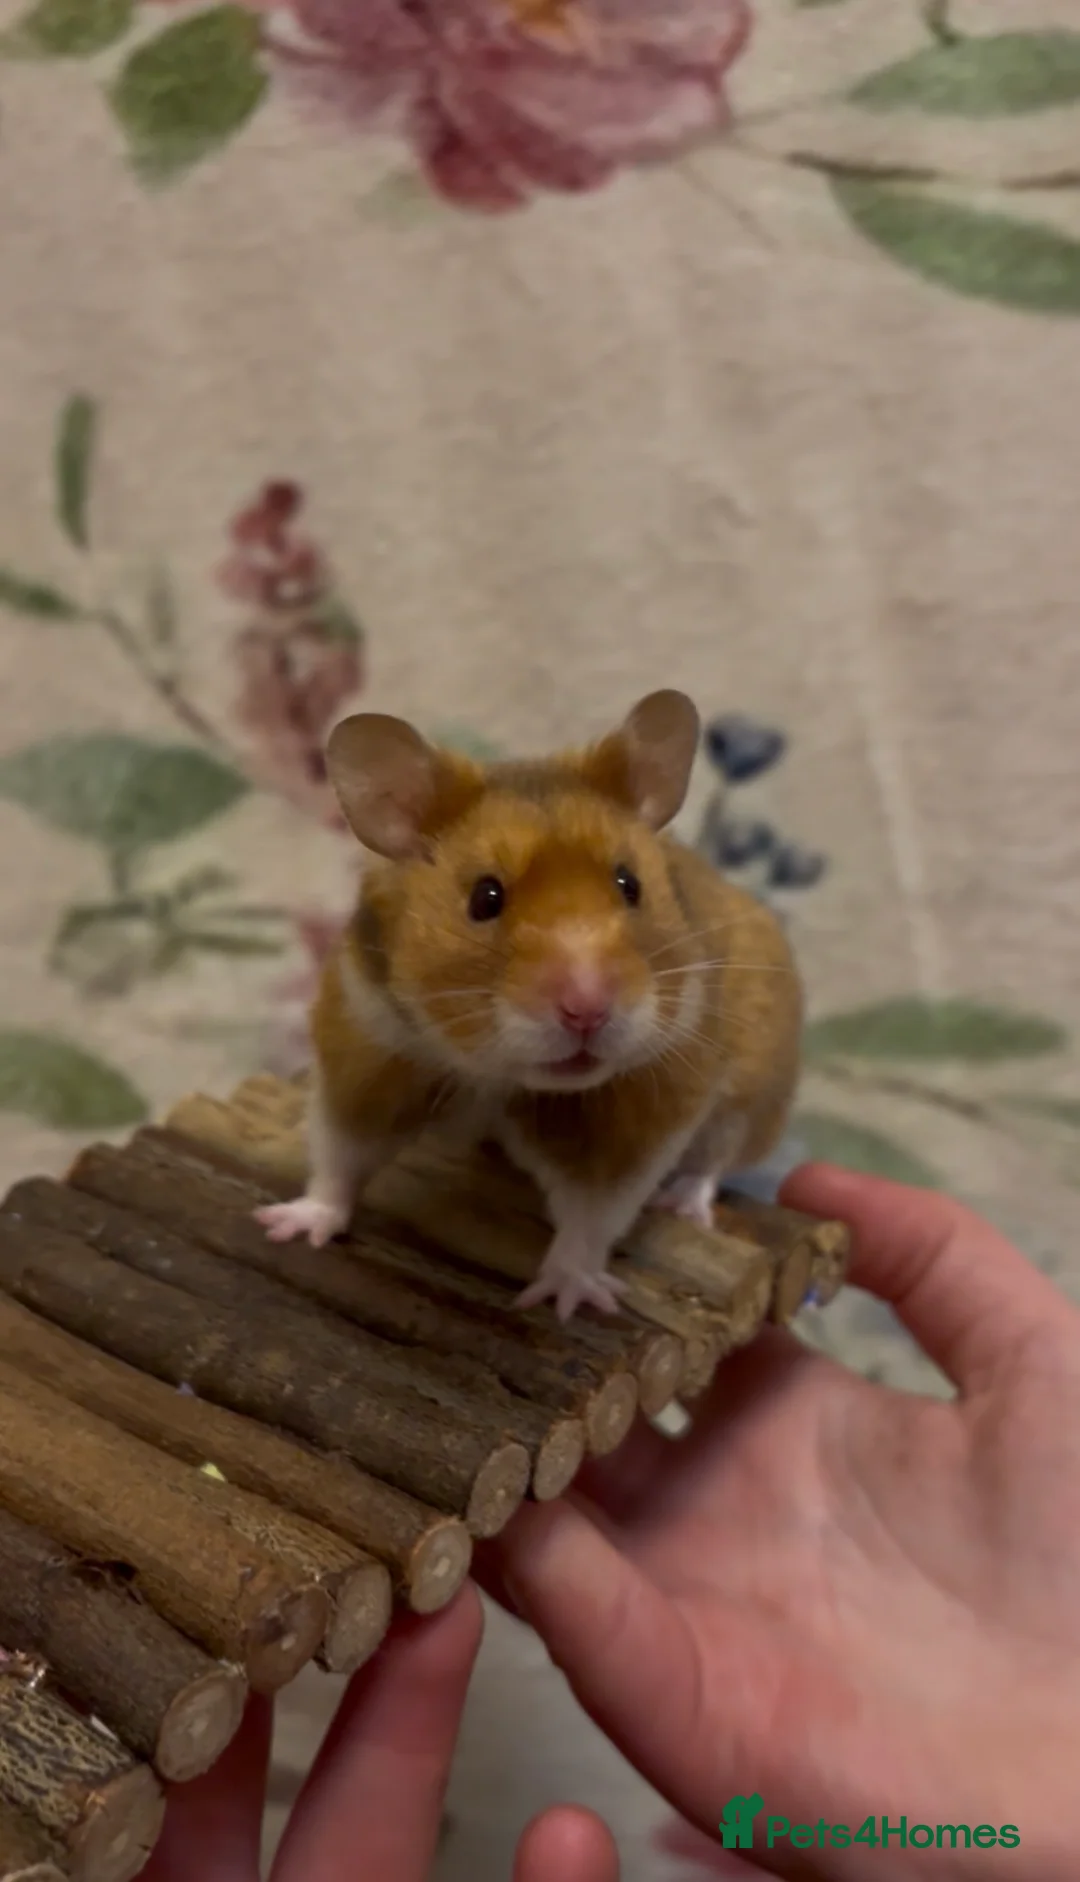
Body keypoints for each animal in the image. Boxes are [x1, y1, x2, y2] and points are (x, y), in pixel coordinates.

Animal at [255, 690, 803, 1321]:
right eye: (485, 897)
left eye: (630, 885)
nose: (588, 1010)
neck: (495, 1074)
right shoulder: (369, 1053)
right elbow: (339, 1158)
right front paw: (289, 1226)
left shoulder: (636, 1115)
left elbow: (592, 1219)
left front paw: (569, 1301)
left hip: (753, 1094)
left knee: (713, 1161)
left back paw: (682, 1204)